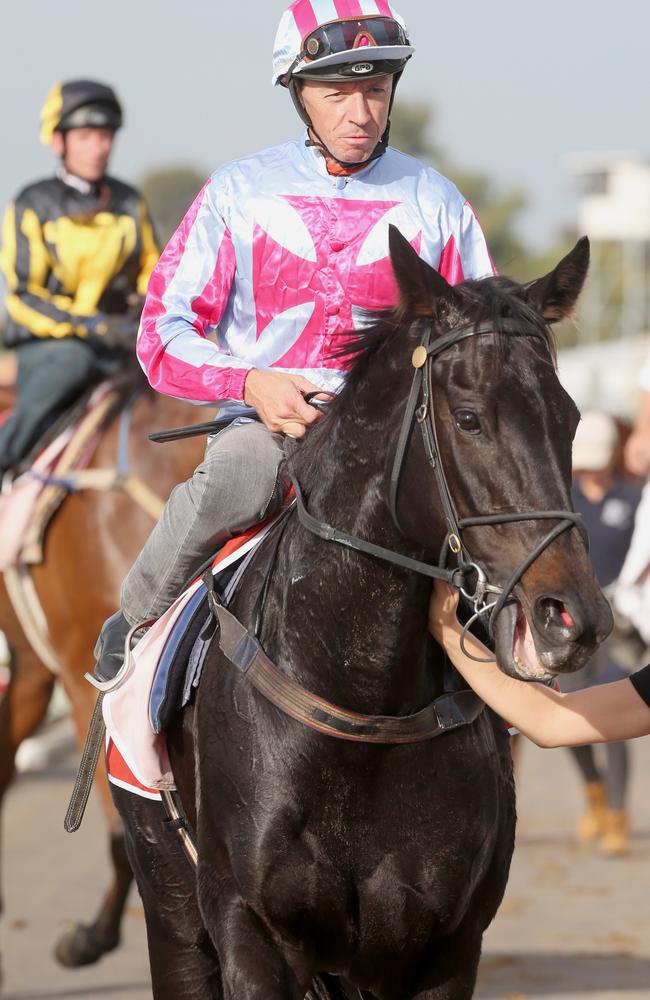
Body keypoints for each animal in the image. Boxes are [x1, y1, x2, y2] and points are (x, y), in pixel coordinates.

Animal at [112, 230, 612, 996]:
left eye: (571, 418)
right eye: (469, 417)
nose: (571, 616)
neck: (361, 708)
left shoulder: (445, 947)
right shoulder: (251, 933)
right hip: (171, 913)